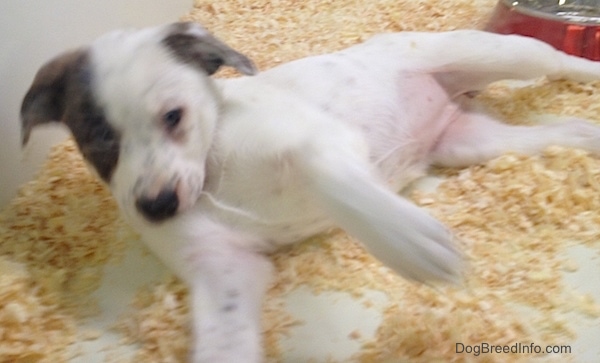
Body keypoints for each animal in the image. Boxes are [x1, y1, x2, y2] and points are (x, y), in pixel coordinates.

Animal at [21, 22, 600, 362]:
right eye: (100, 140)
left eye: (173, 117)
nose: (157, 208)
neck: (212, 173)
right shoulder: (223, 270)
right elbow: (224, 341)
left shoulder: (322, 142)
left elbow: (333, 179)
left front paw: (406, 240)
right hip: (467, 143)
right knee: (545, 134)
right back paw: (586, 136)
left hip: (499, 53)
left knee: (556, 59)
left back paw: (588, 72)